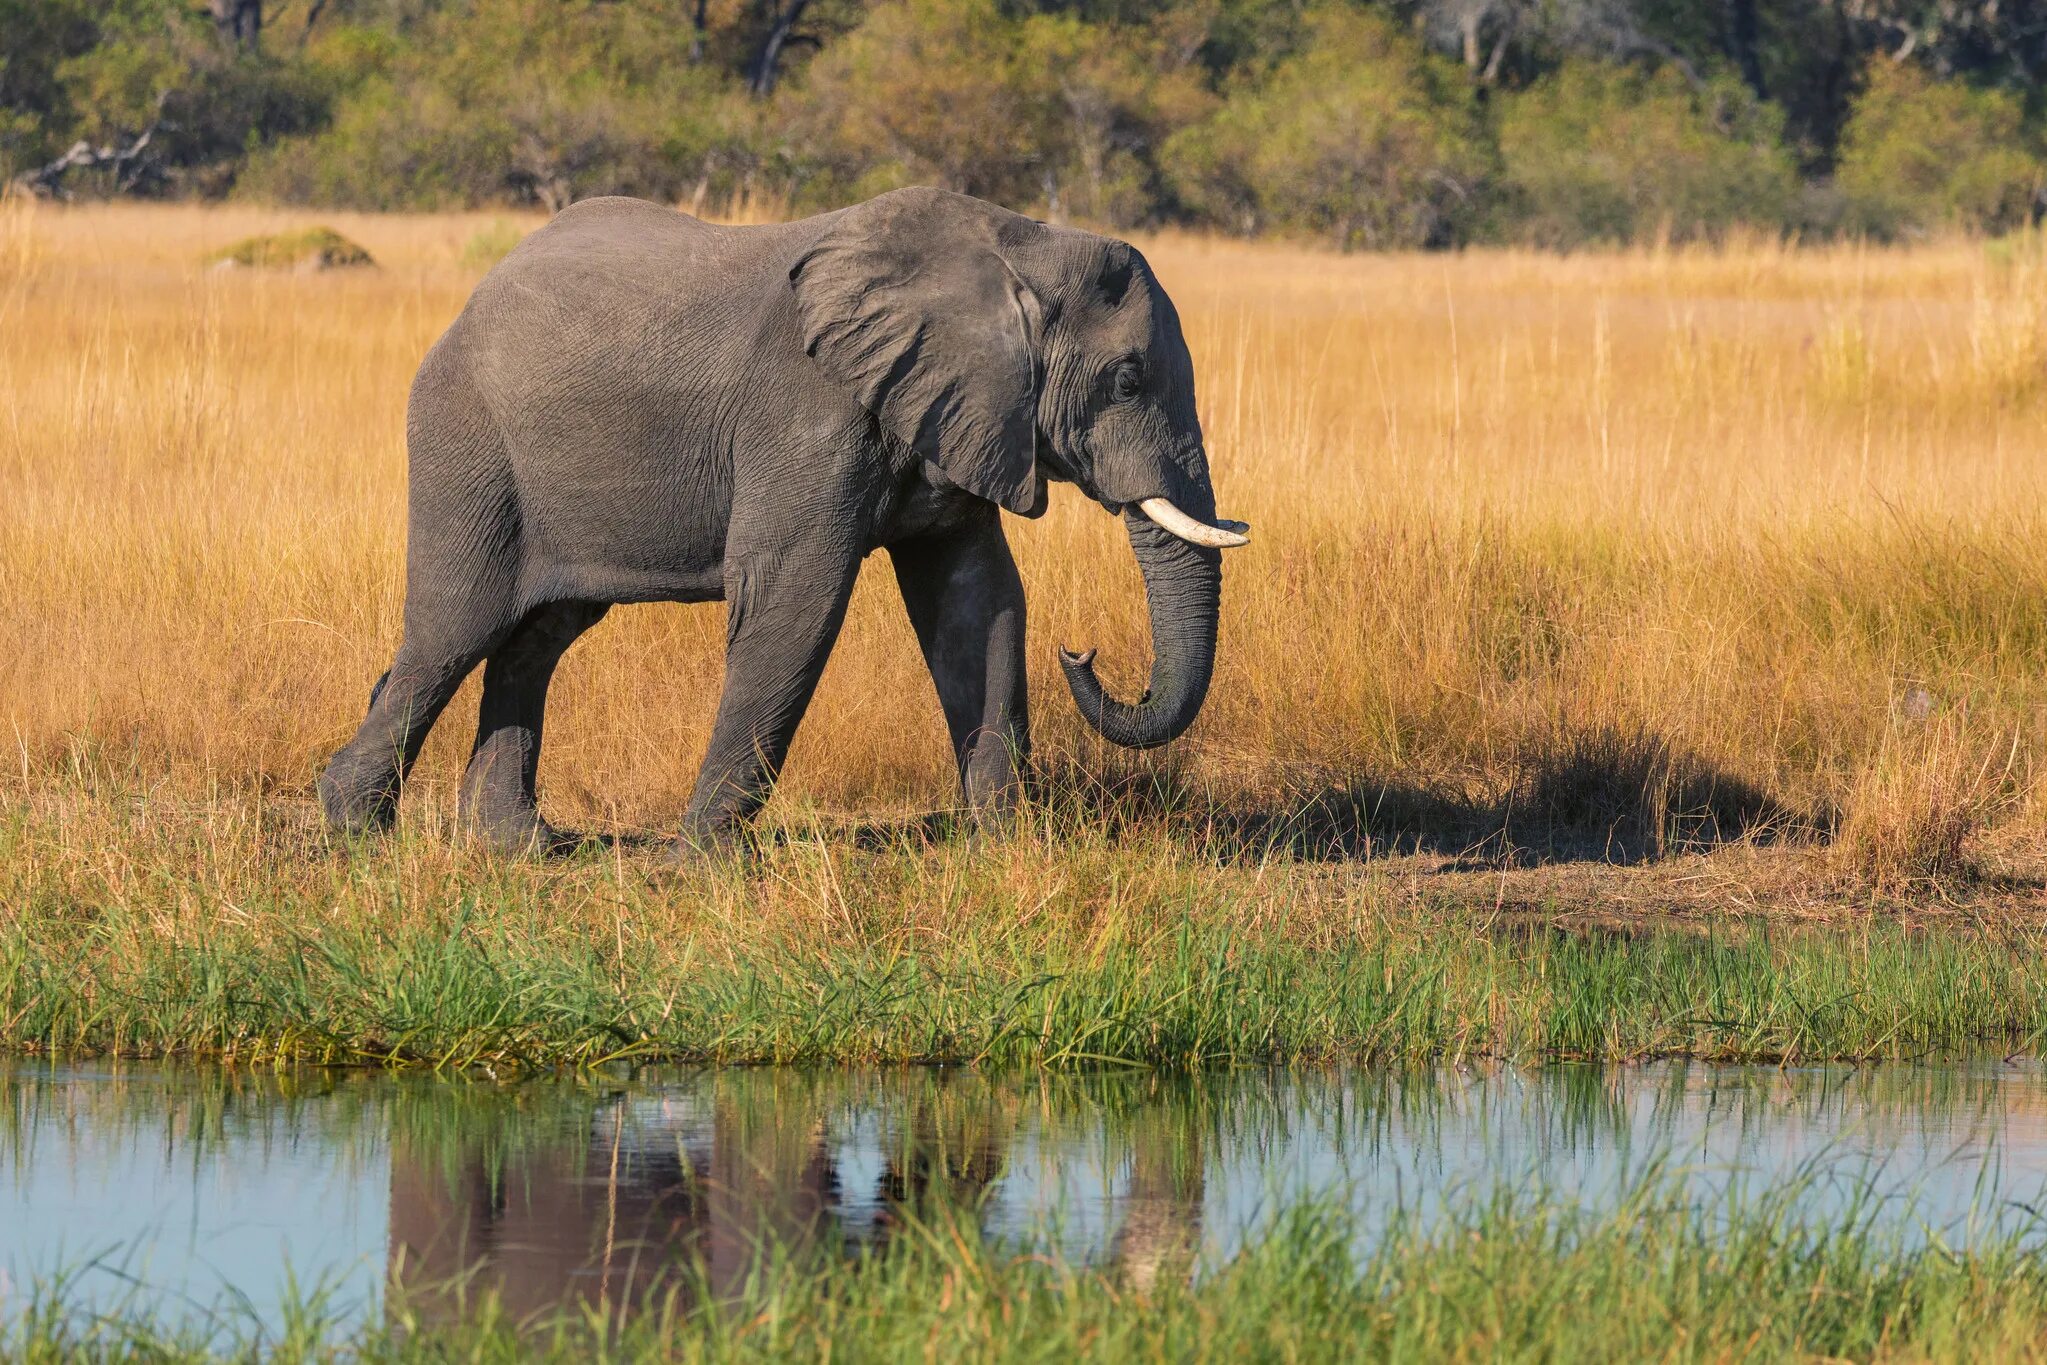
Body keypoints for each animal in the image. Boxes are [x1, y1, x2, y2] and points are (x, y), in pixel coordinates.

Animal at [315, 187, 1244, 847]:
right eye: (1126, 380)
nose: (1081, 654)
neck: (1016, 243)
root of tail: (467, 305)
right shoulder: (806, 413)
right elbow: (797, 601)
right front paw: (696, 861)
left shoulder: (956, 413)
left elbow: (976, 602)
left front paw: (1007, 846)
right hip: (465, 442)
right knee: (452, 628)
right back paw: (351, 826)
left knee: (538, 635)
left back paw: (519, 847)